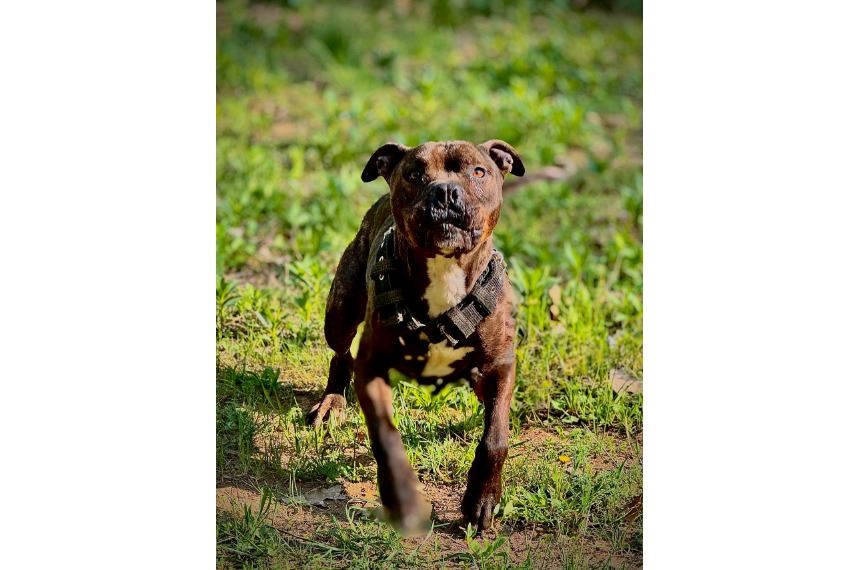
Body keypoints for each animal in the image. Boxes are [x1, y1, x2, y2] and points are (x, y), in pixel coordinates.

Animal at [307, 140, 524, 534]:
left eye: (478, 171)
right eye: (413, 174)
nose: (446, 191)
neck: (446, 271)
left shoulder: (500, 367)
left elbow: (495, 436)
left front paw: (481, 500)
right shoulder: (372, 368)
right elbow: (384, 435)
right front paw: (401, 498)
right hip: (340, 312)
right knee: (341, 354)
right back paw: (332, 402)